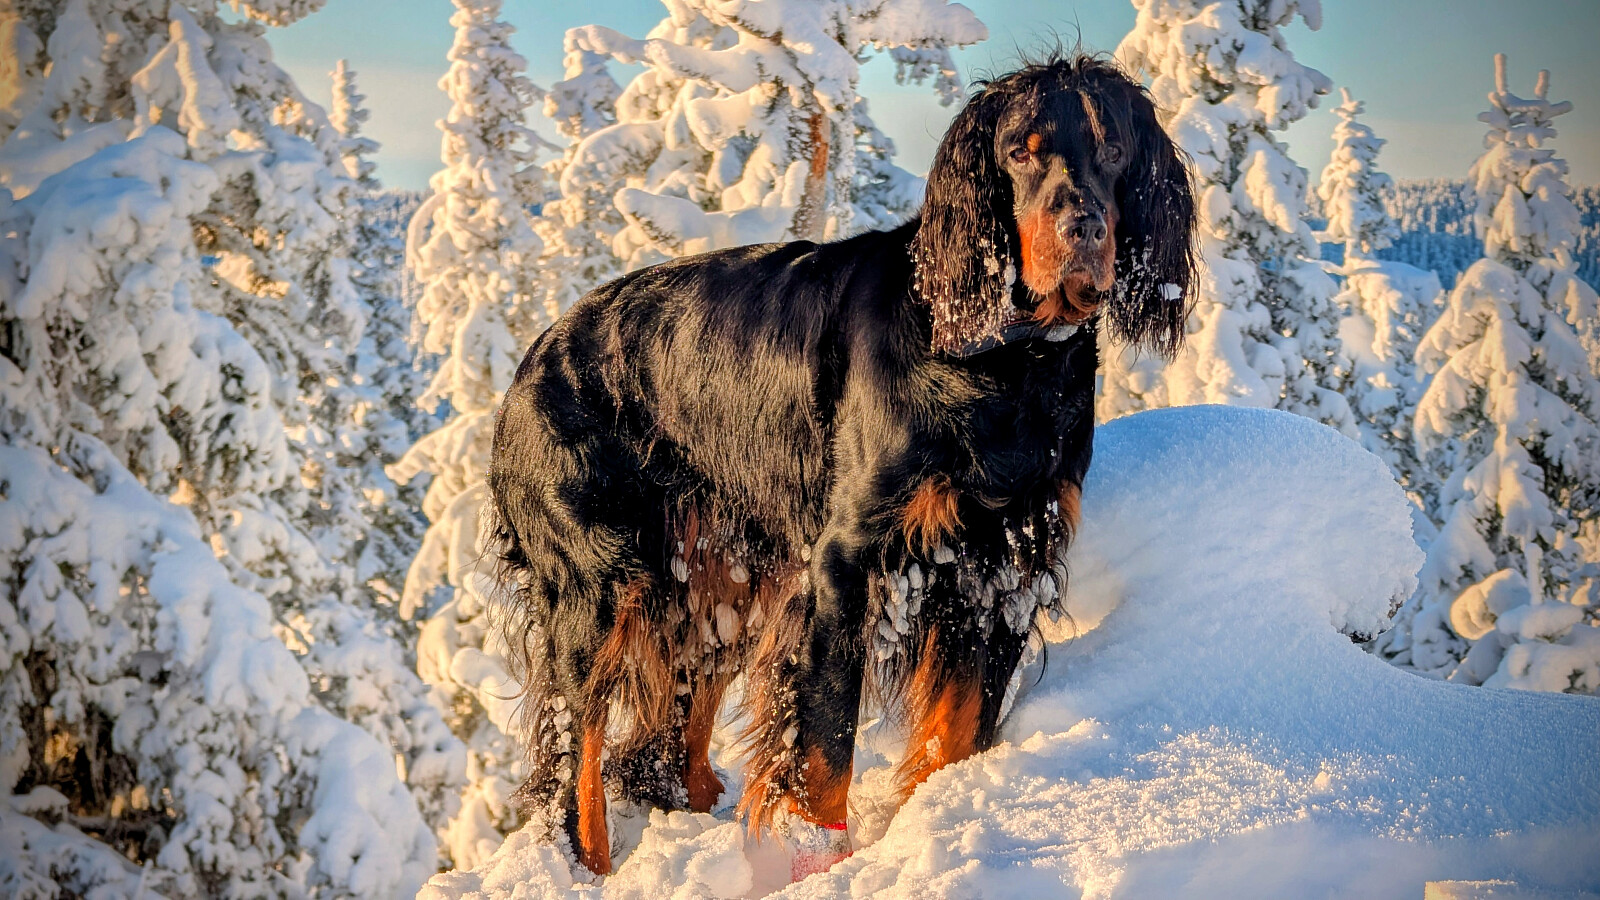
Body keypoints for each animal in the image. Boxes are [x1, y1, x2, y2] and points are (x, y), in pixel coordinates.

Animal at [486, 53, 1195, 879]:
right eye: (1021, 150)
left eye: (1113, 148)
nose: (1082, 226)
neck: (1006, 358)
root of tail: (531, 360)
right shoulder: (848, 561)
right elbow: (824, 741)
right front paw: (818, 855)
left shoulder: (1004, 561)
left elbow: (959, 730)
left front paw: (933, 814)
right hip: (600, 583)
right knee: (577, 747)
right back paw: (588, 865)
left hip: (719, 573)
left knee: (670, 721)